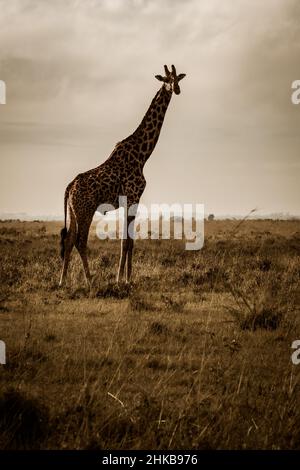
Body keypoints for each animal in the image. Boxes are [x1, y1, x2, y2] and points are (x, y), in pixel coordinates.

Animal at [58, 64, 185, 286]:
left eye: (177, 78)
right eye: (166, 80)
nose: (176, 89)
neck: (143, 155)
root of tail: (69, 187)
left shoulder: (130, 200)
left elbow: (128, 241)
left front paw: (126, 277)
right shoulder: (133, 197)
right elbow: (126, 242)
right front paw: (122, 279)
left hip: (74, 211)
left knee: (69, 239)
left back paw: (62, 281)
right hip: (86, 210)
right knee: (80, 241)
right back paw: (89, 280)